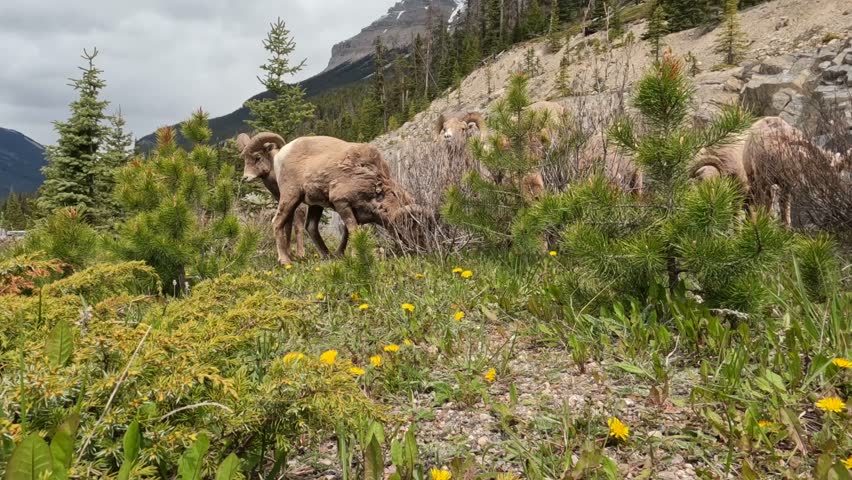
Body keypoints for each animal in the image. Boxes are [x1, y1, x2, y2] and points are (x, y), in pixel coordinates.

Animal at [240, 133, 420, 266]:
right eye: (406, 225)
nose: (415, 248)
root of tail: (283, 153)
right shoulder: (342, 203)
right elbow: (353, 230)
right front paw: (355, 257)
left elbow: (347, 233)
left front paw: (341, 255)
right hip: (291, 196)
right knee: (277, 222)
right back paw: (285, 261)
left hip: (314, 204)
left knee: (311, 227)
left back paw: (327, 256)